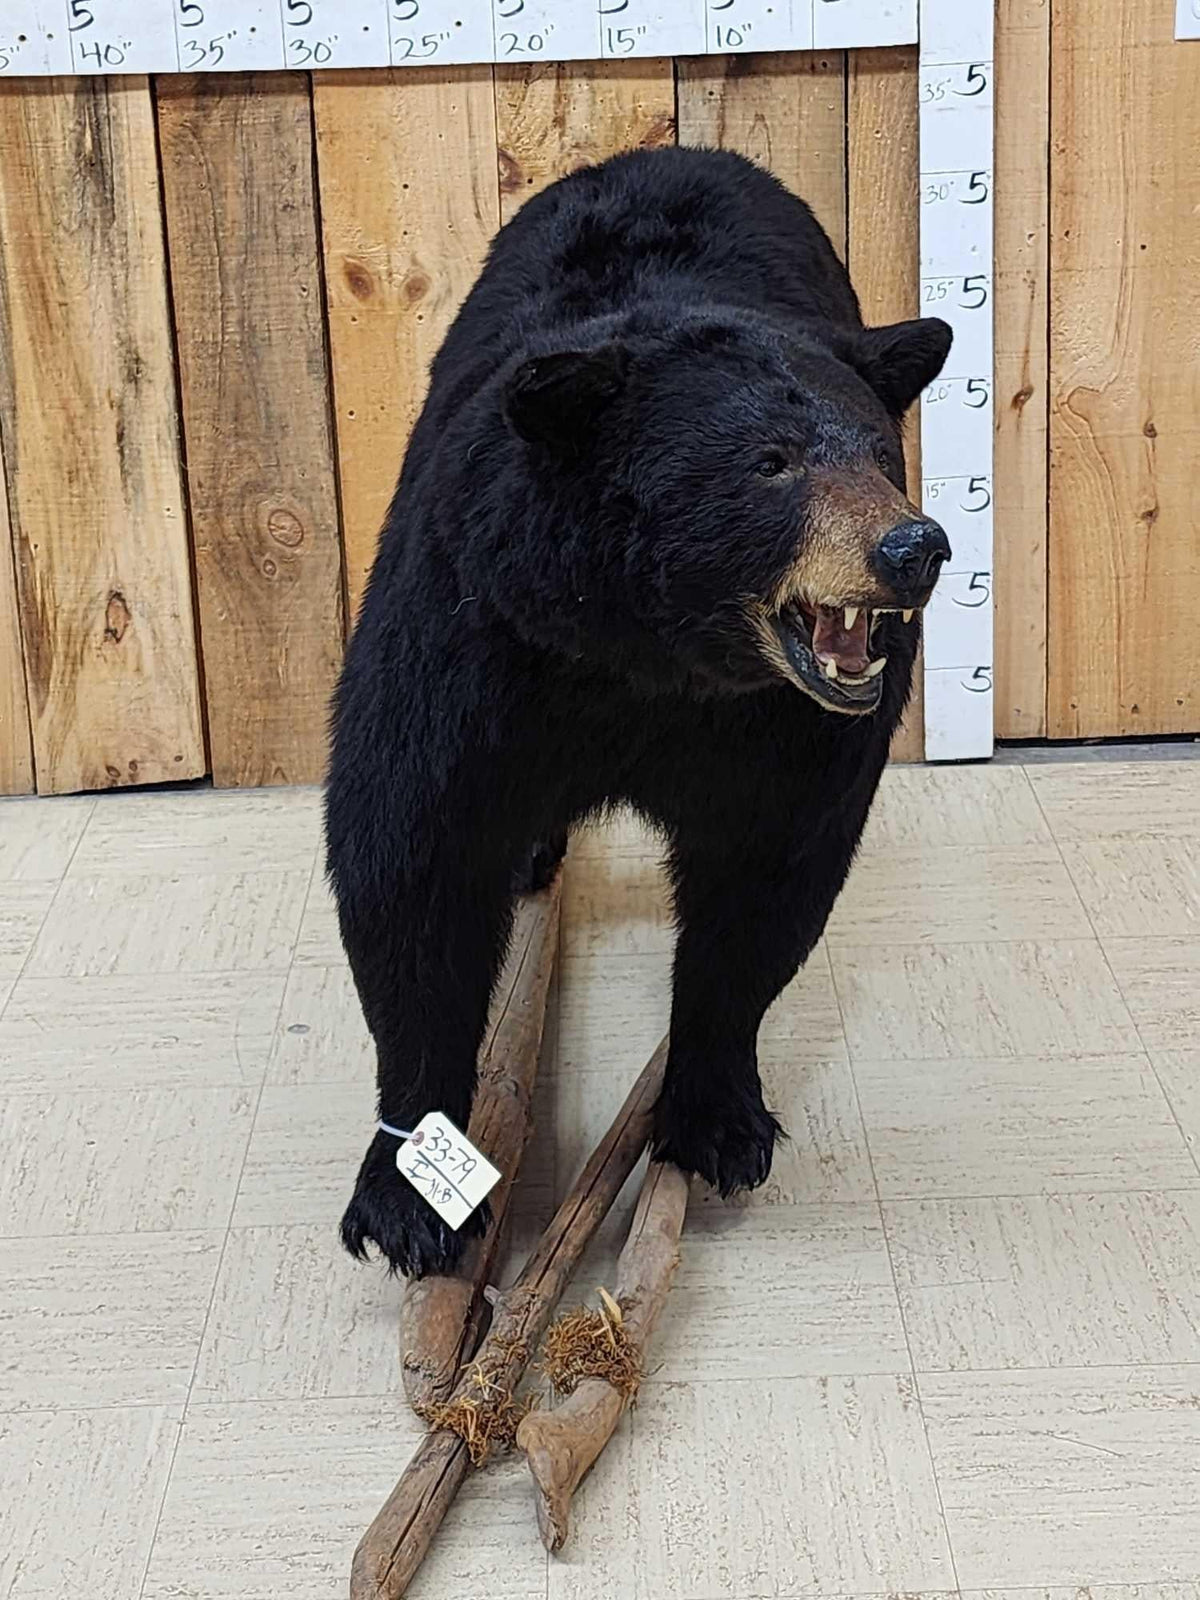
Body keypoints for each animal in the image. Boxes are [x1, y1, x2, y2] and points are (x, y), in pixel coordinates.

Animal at [325, 145, 953, 1278]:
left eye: (882, 455)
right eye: (772, 461)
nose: (913, 547)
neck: (652, 657)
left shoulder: (785, 736)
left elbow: (767, 884)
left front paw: (713, 1117)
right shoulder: (475, 642)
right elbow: (413, 859)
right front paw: (410, 1188)